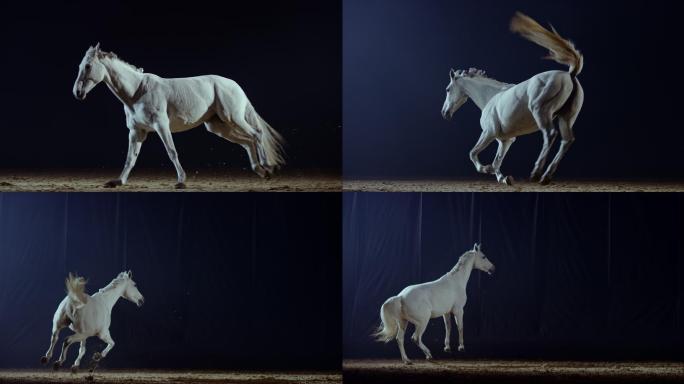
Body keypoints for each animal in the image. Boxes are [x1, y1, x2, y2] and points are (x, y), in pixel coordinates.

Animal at [74, 44, 286, 188]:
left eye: (88, 66)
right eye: (80, 66)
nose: (77, 93)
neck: (137, 92)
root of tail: (235, 85)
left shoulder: (161, 126)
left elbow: (172, 151)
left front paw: (181, 181)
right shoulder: (136, 131)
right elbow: (131, 157)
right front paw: (118, 181)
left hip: (233, 118)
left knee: (256, 134)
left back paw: (268, 167)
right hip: (219, 127)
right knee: (248, 142)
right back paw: (262, 172)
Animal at [440, 12, 584, 186]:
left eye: (447, 89)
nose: (444, 113)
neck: (490, 97)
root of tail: (569, 75)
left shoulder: (489, 133)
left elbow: (473, 153)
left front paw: (486, 169)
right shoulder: (505, 140)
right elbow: (497, 161)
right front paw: (503, 178)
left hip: (541, 112)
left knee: (550, 135)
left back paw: (536, 174)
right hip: (566, 117)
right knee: (566, 141)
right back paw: (546, 177)